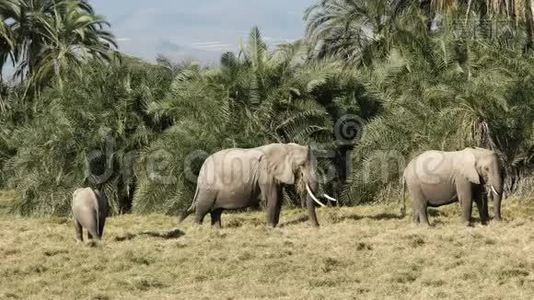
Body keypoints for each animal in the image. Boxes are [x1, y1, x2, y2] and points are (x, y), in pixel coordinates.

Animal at [180, 143, 340, 227]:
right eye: (301, 165)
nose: (317, 226)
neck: (286, 146)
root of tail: (201, 169)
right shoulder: (266, 173)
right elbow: (272, 198)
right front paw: (270, 228)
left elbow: (279, 200)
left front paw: (274, 226)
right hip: (209, 187)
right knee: (202, 209)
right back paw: (198, 228)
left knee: (216, 212)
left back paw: (217, 230)